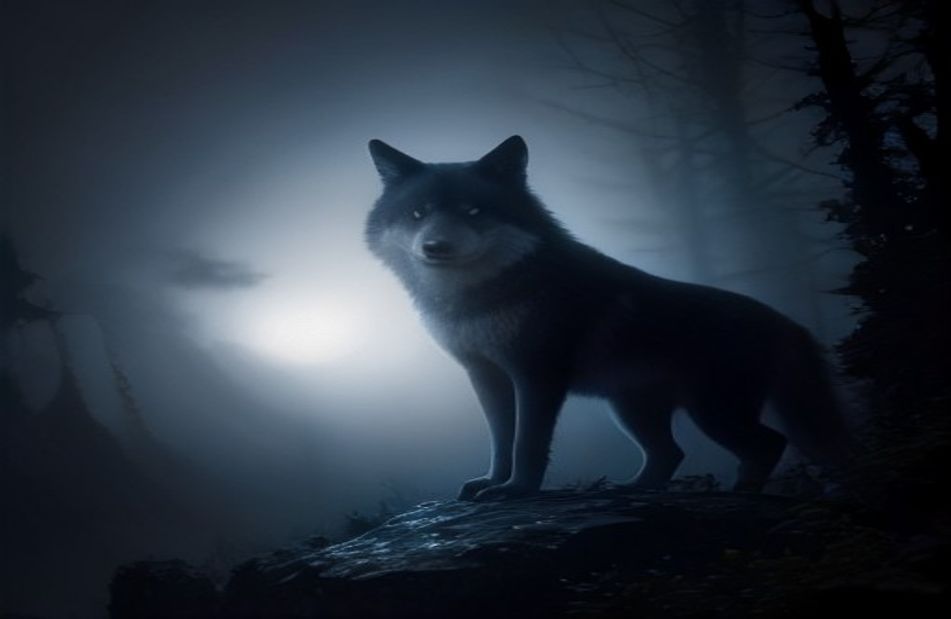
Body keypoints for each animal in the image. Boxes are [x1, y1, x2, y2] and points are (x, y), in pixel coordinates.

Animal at [365, 135, 847, 501]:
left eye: (473, 211)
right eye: (418, 213)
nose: (435, 247)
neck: (479, 297)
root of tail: (790, 324)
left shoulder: (537, 375)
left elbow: (527, 443)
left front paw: (517, 490)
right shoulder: (486, 376)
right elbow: (501, 440)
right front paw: (491, 482)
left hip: (711, 412)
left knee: (769, 443)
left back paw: (738, 495)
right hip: (632, 409)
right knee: (671, 454)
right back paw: (632, 490)